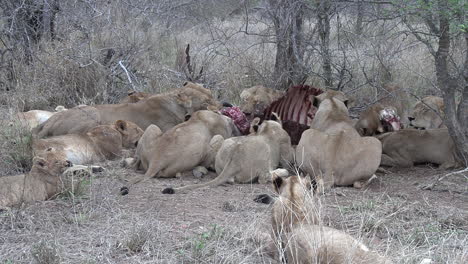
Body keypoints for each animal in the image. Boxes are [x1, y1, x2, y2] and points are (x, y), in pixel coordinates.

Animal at [35, 82, 219, 138]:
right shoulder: (165, 128)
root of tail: (47, 123)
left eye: (211, 94)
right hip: (92, 112)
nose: (222, 106)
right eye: (206, 101)